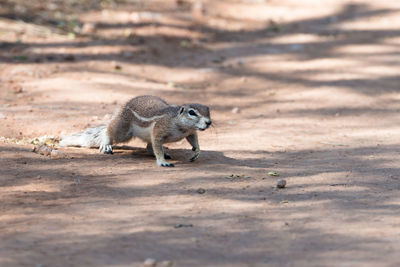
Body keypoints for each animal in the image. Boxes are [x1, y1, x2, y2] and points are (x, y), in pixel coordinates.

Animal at [59, 96, 212, 168]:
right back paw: (107, 144)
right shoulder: (159, 130)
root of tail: (122, 108)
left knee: (149, 147)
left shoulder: (190, 132)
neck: (181, 126)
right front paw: (162, 161)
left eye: (208, 110)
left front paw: (197, 151)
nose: (209, 122)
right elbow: (157, 146)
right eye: (192, 112)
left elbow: (194, 140)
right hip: (123, 130)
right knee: (109, 131)